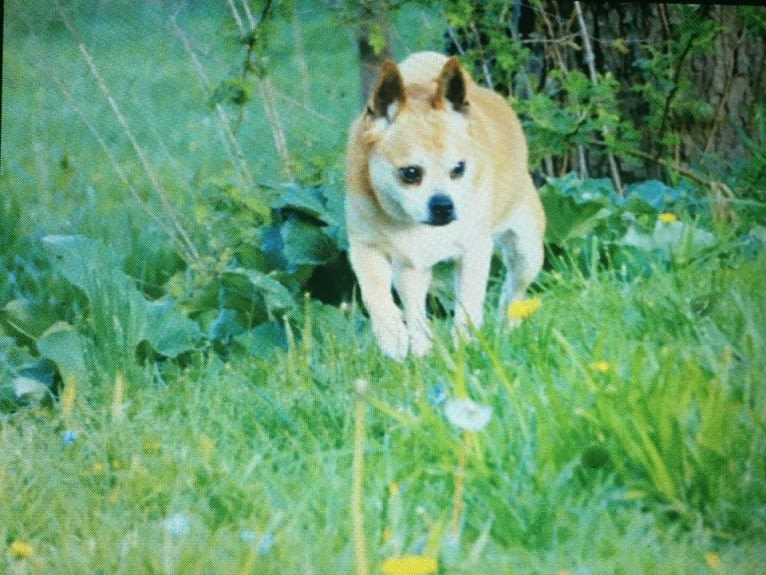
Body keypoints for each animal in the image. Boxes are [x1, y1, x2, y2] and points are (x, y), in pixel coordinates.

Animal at [342, 50, 544, 360]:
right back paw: (421, 347)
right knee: (414, 308)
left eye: (459, 169)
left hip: (527, 251)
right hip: (411, 268)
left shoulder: (474, 252)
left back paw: (505, 325)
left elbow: (468, 306)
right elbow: (376, 296)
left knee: (514, 289)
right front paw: (393, 339)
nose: (444, 205)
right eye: (410, 173)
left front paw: (465, 346)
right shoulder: (366, 249)